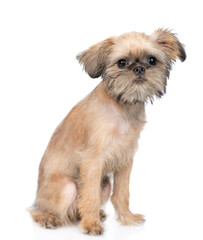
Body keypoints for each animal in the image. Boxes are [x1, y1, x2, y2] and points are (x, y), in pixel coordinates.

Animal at [29, 29, 186, 235]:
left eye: (152, 60)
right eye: (122, 63)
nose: (139, 69)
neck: (123, 106)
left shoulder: (125, 160)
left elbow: (122, 193)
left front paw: (127, 218)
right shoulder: (93, 161)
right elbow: (90, 195)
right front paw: (91, 225)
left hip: (105, 184)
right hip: (68, 187)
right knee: (38, 210)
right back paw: (48, 218)